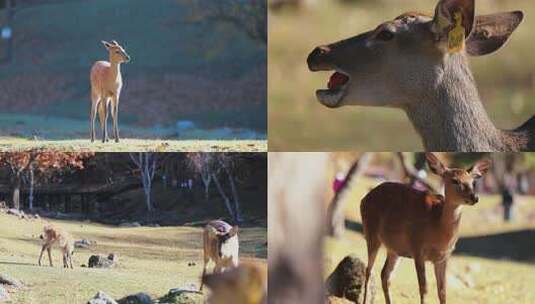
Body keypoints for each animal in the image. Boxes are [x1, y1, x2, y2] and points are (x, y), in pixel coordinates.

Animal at [360, 154, 490, 304]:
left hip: (395, 249)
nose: (475, 197)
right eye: (455, 180)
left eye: (472, 182)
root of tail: (364, 199)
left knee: (385, 274)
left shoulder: (444, 257)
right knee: (369, 270)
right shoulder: (417, 248)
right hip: (371, 233)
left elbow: (442, 292)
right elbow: (424, 288)